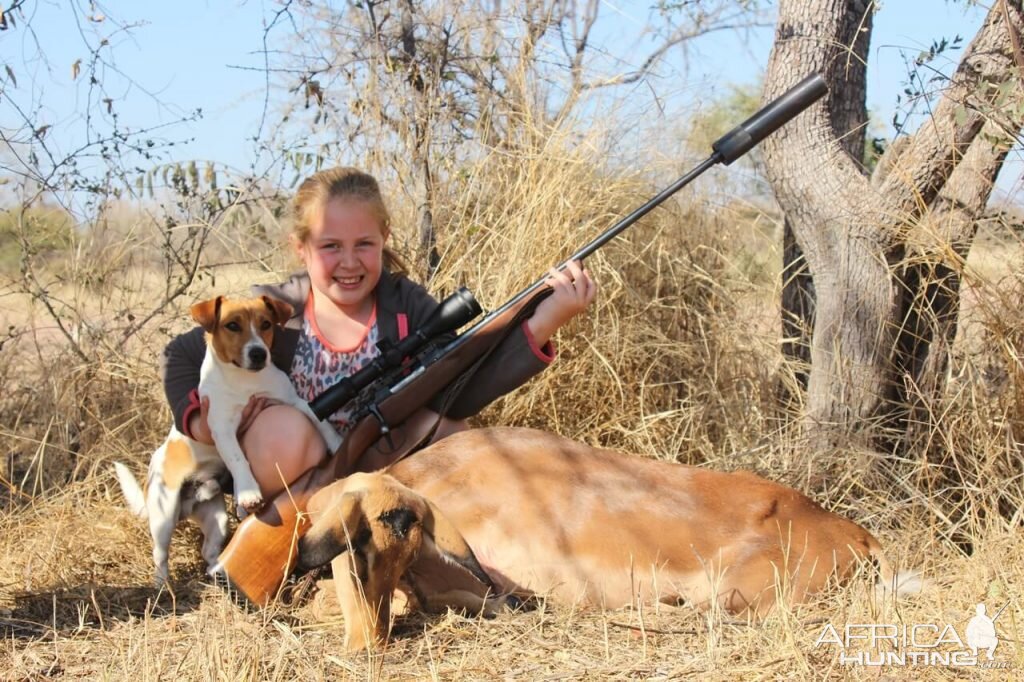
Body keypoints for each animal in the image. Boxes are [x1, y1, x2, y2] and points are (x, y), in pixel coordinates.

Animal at [117, 294, 344, 581]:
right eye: (232, 325)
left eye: (266, 324)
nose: (259, 353)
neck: (245, 381)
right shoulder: (221, 428)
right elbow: (238, 459)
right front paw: (248, 493)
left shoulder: (293, 401)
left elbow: (320, 420)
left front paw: (338, 443)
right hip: (163, 516)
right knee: (160, 555)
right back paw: (162, 583)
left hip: (216, 519)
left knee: (209, 550)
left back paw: (219, 569)